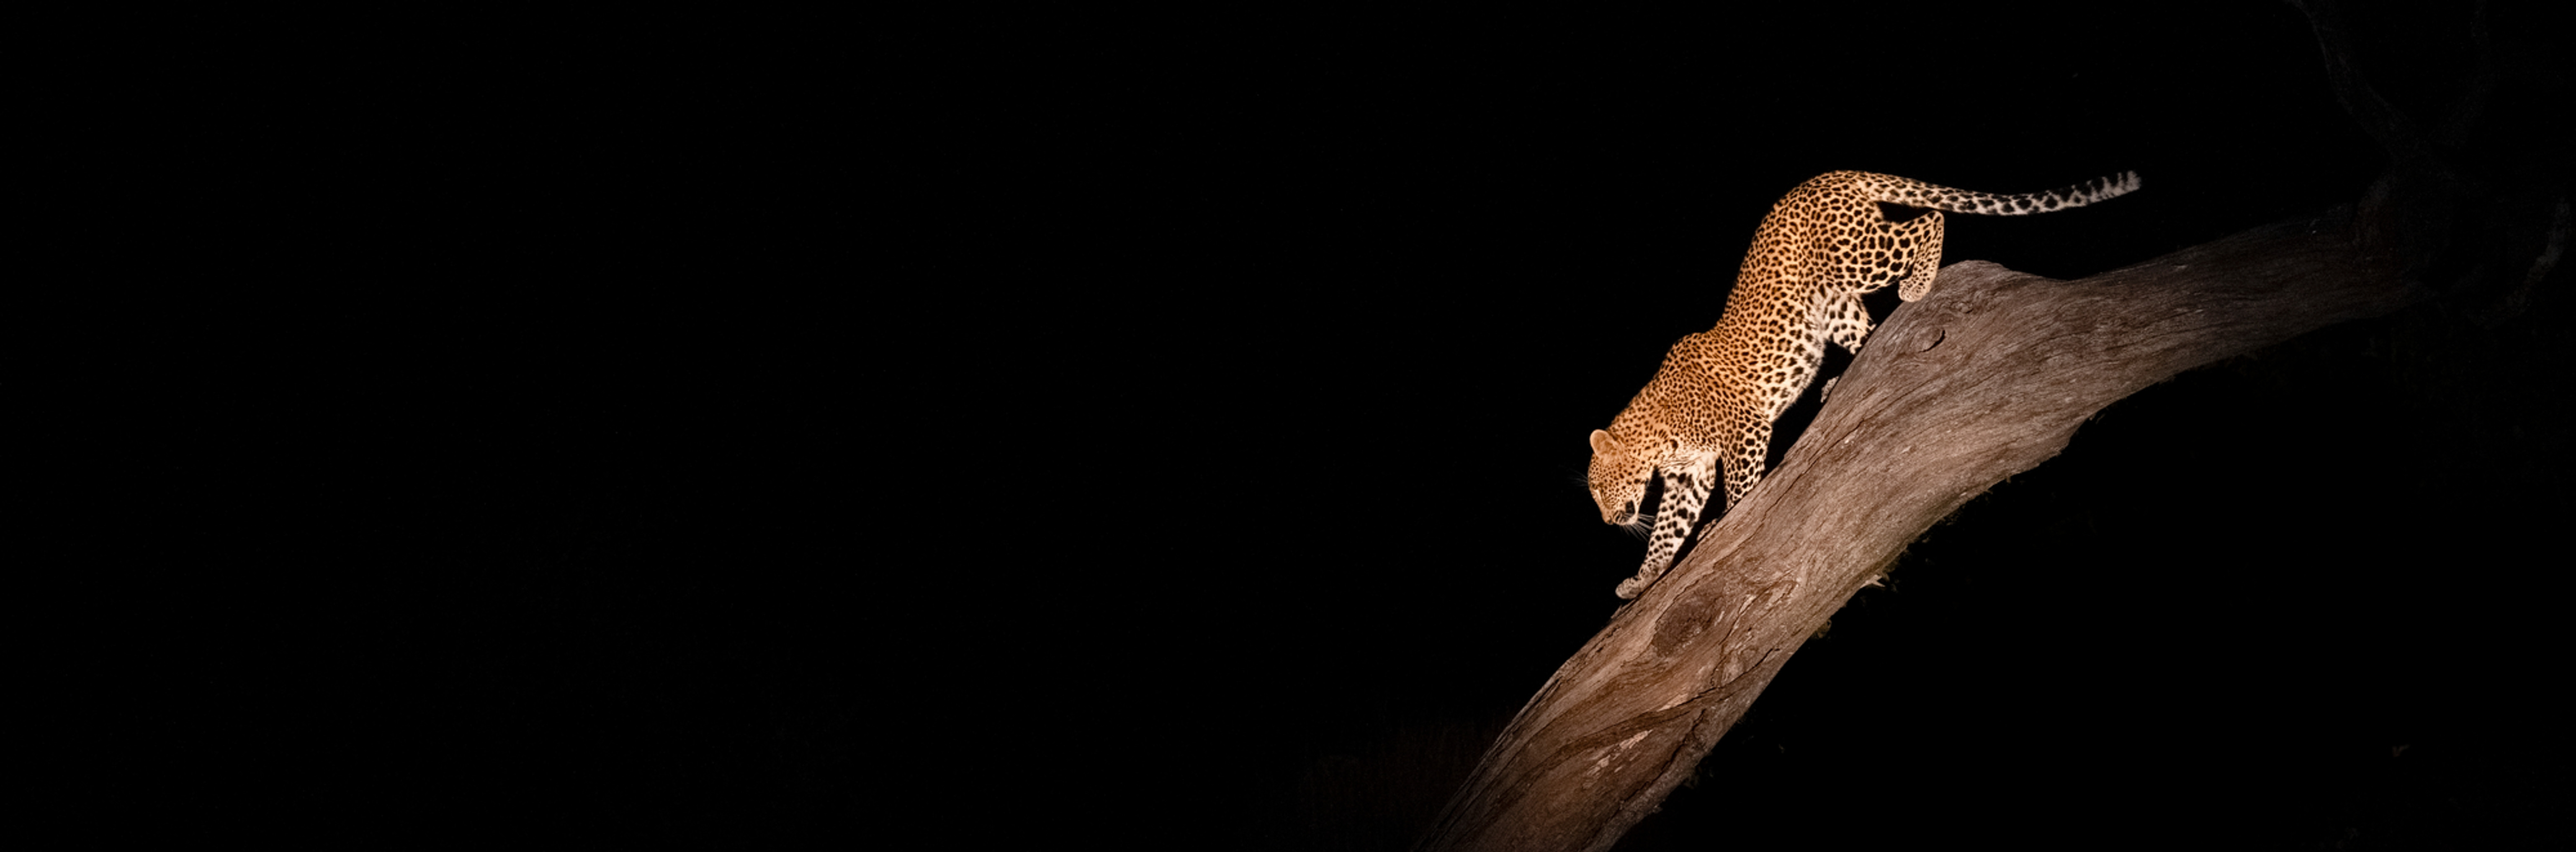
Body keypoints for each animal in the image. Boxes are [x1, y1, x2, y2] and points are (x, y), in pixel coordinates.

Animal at [1589, 169, 2140, 599]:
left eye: (1597, 488)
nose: (1608, 522)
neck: (1657, 436)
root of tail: (1824, 177)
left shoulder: (1743, 433)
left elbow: (1739, 489)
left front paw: (1721, 526)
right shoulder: (1692, 474)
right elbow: (1667, 530)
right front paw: (1643, 579)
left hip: (1859, 256)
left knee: (1930, 221)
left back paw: (1916, 286)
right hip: (1832, 302)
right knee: (1869, 334)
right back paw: (1839, 380)